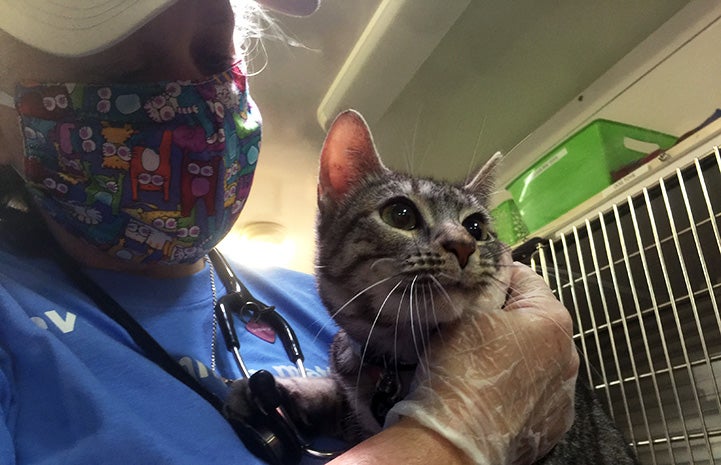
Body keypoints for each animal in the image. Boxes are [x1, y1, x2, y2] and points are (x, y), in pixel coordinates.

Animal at [225, 109, 636, 464]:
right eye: (400, 214)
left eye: (476, 228)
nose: (463, 244)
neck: (397, 359)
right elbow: (331, 393)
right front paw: (267, 394)